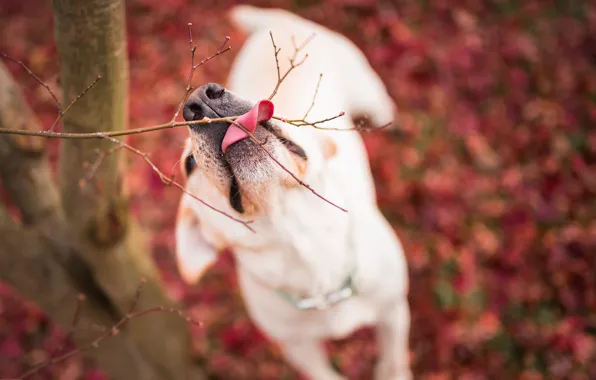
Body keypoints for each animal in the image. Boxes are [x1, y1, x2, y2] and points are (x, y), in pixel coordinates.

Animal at [175, 5, 412, 380]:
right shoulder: (298, 348)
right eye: (189, 164)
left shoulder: (394, 311)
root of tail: (280, 21)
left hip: (366, 87)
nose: (200, 98)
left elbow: (393, 361)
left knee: (382, 105)